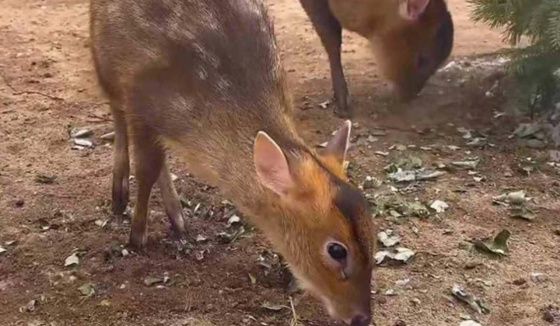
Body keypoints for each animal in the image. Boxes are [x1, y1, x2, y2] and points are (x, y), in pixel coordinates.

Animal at [88, 0, 376, 324]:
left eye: (374, 233)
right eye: (337, 250)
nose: (362, 317)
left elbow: (156, 163)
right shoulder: (141, 99)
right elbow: (147, 168)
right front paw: (136, 237)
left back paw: (177, 219)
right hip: (104, 61)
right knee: (116, 113)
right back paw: (120, 195)